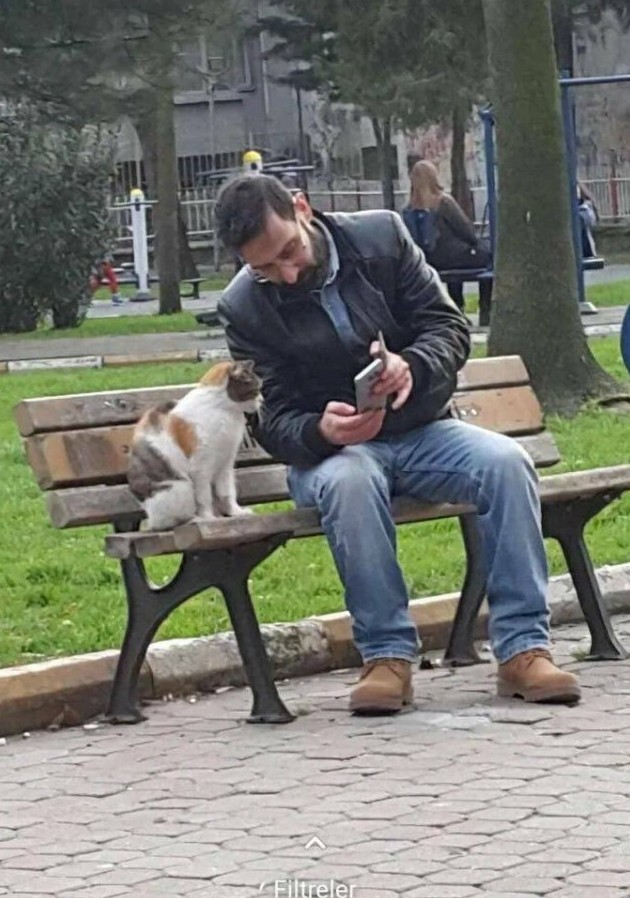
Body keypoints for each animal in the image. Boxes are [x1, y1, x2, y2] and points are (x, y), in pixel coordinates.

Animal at [127, 360, 262, 531]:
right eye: (256, 390)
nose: (262, 400)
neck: (226, 412)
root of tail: (150, 518)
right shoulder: (201, 467)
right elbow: (204, 498)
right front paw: (209, 518)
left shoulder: (225, 464)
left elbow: (227, 493)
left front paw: (236, 512)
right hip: (181, 488)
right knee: (169, 522)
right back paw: (197, 519)